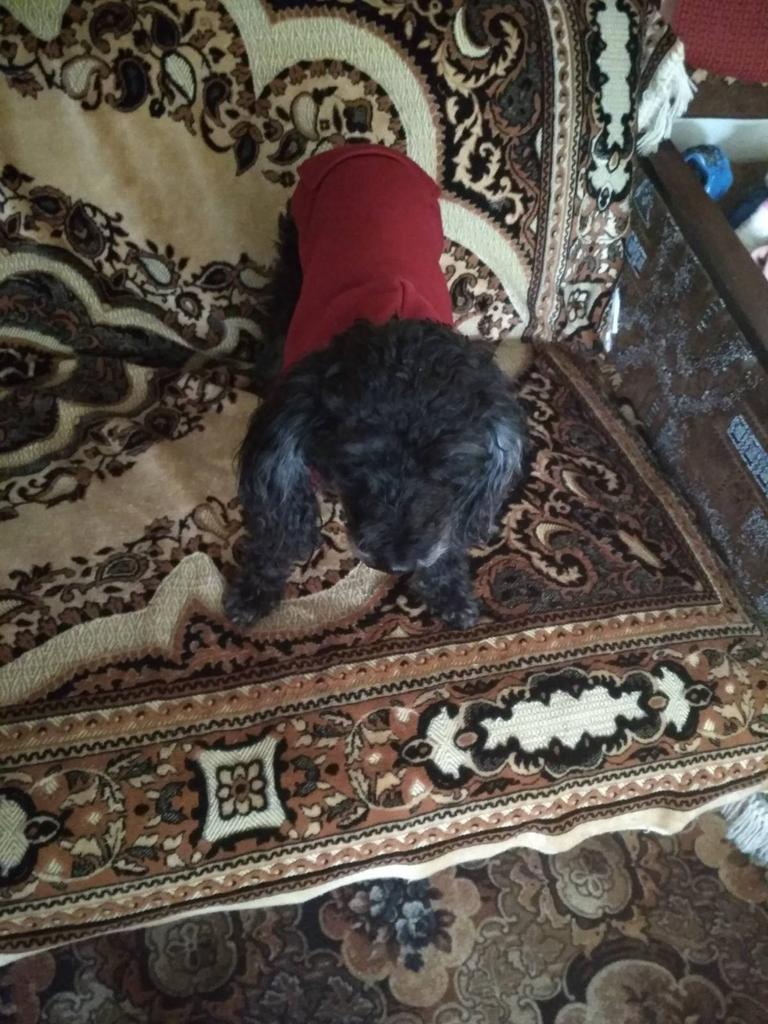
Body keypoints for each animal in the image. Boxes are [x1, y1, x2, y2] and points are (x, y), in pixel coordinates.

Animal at [225, 144, 527, 630]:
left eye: (449, 472)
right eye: (357, 467)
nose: (397, 563)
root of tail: (367, 148)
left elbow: (447, 536)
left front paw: (449, 590)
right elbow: (277, 527)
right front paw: (255, 591)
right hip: (295, 254)